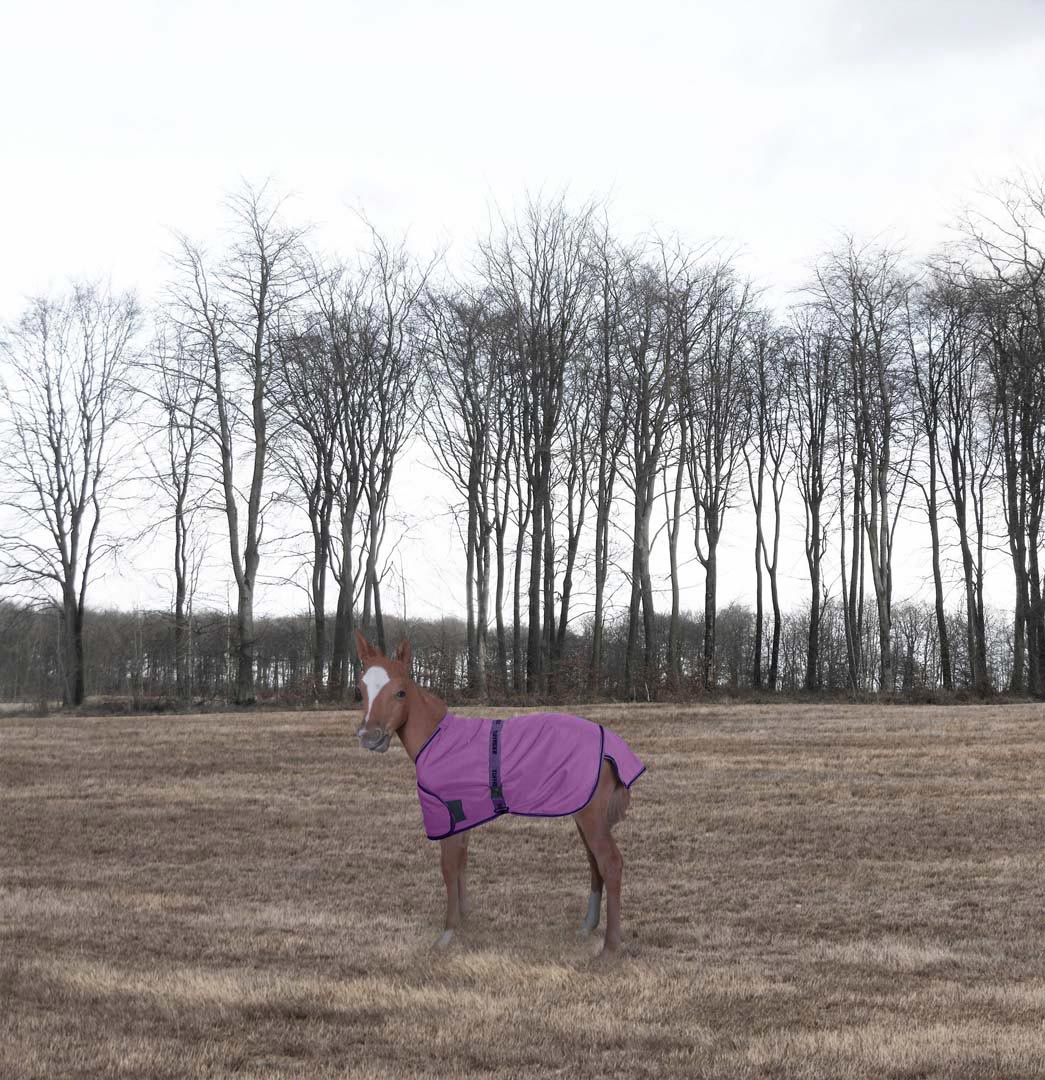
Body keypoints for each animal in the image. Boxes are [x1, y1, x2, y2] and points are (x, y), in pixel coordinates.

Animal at [352, 631, 646, 955]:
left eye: (400, 692)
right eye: (360, 688)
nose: (370, 737)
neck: (436, 740)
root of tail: (612, 744)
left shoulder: (447, 814)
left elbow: (448, 867)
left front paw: (447, 933)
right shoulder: (464, 815)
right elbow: (462, 863)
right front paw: (464, 920)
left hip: (591, 816)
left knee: (611, 863)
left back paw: (610, 947)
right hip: (583, 813)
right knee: (595, 863)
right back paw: (587, 927)